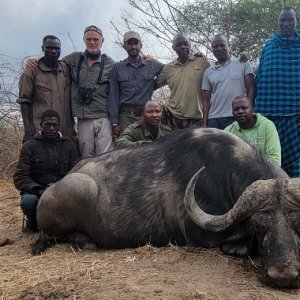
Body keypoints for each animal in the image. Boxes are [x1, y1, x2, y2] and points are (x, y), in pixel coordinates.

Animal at [34, 128, 298, 288]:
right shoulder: (197, 235)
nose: (284, 275)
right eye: (259, 225)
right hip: (81, 188)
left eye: (299, 225)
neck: (224, 174)